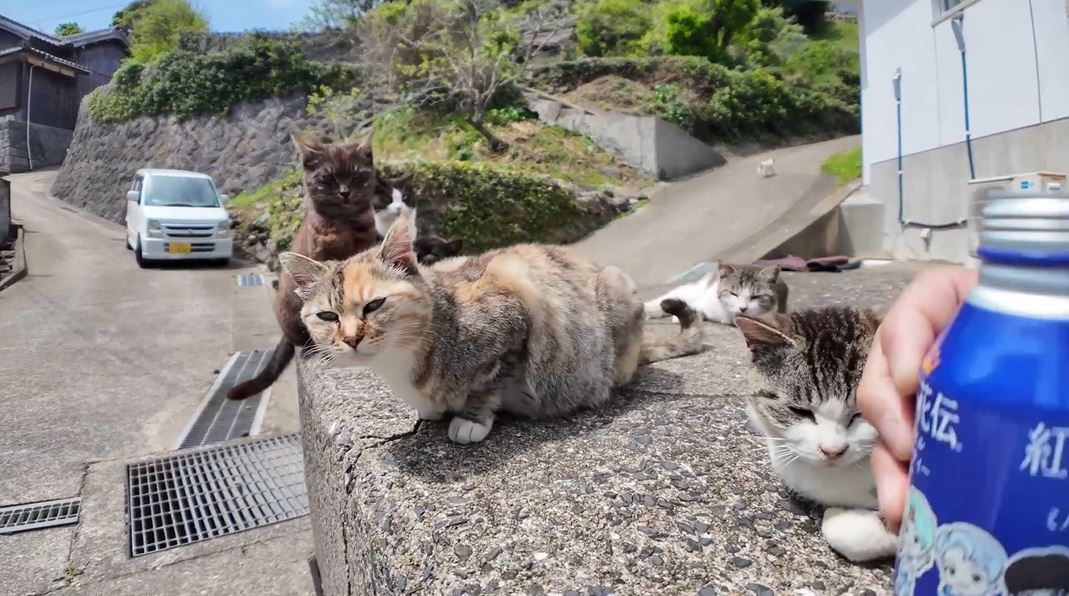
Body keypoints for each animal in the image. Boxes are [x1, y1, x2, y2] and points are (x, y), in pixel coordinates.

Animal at [226, 134, 380, 401]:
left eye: (357, 176)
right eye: (328, 178)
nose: (345, 192)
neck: (345, 227)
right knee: (302, 339)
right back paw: (311, 348)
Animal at [279, 215, 705, 444]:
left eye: (373, 305)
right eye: (327, 316)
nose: (351, 339)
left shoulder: (513, 319)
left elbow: (486, 385)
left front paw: (469, 420)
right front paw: (431, 409)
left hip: (617, 289)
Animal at [644, 263, 788, 325]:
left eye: (755, 297)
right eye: (733, 293)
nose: (743, 308)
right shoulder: (705, 300)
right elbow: (694, 306)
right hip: (695, 289)